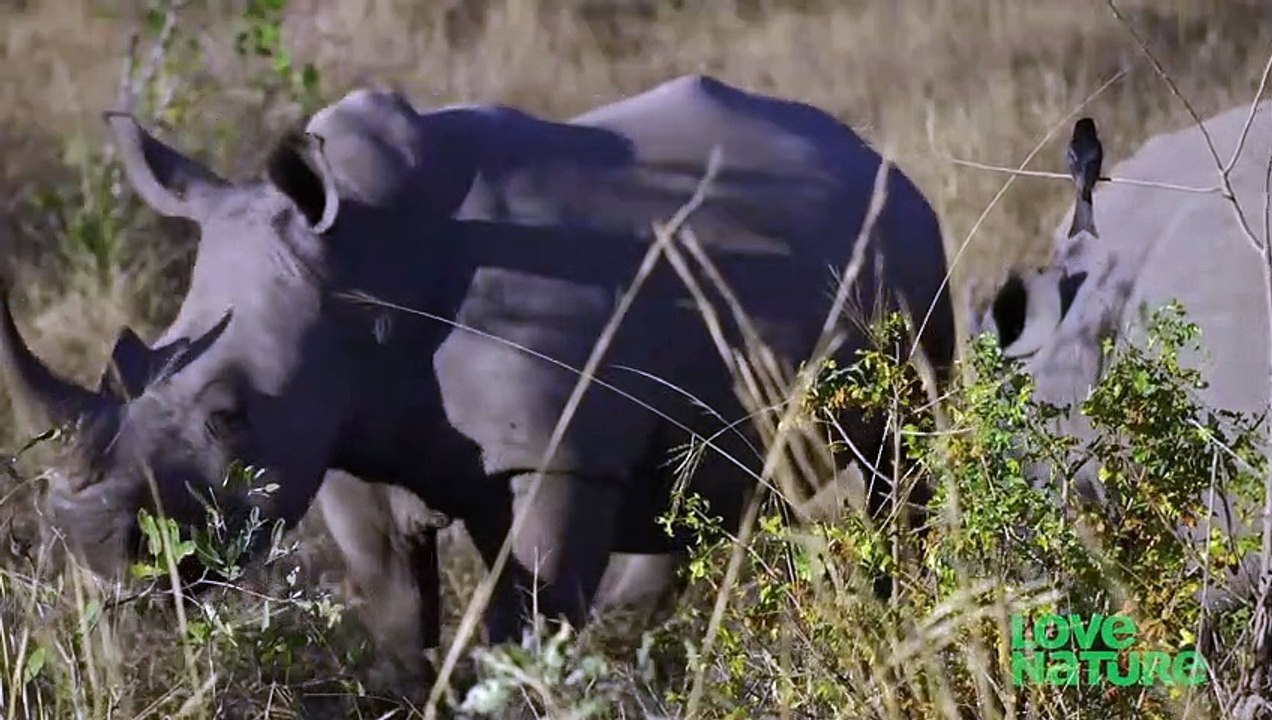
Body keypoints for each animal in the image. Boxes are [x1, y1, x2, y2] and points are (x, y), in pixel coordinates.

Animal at [0, 75, 954, 678]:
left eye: (230, 414)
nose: (95, 555)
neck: (360, 267)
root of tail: (871, 154)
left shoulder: (558, 449)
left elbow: (523, 621)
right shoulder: (338, 436)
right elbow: (395, 617)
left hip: (914, 256)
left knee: (900, 461)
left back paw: (906, 598)